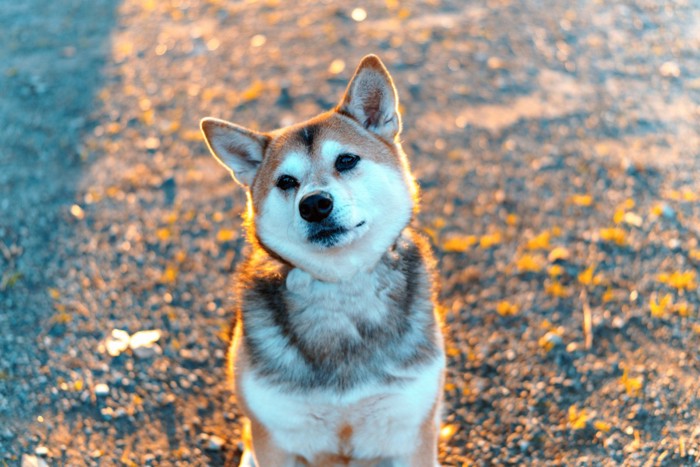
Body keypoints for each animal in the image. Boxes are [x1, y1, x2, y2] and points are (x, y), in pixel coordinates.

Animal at [200, 53, 446, 466]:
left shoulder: (409, 433)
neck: (342, 288)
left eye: (346, 160)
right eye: (285, 182)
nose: (314, 204)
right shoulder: (275, 437)